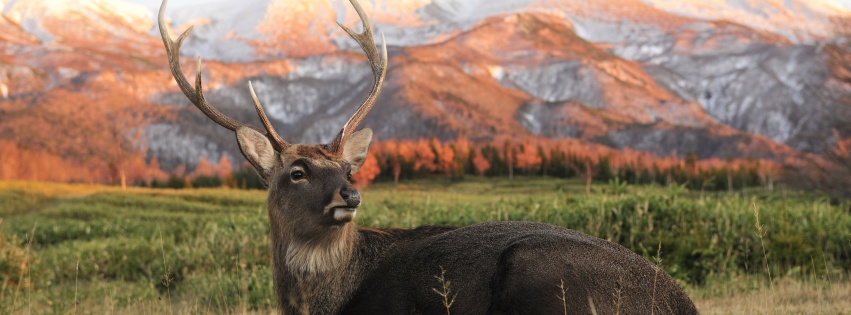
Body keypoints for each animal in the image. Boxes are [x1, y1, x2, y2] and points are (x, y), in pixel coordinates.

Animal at [158, 1, 700, 314]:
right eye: (297, 171)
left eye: (347, 166)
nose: (351, 194)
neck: (321, 305)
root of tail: (682, 305)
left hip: (542, 276)